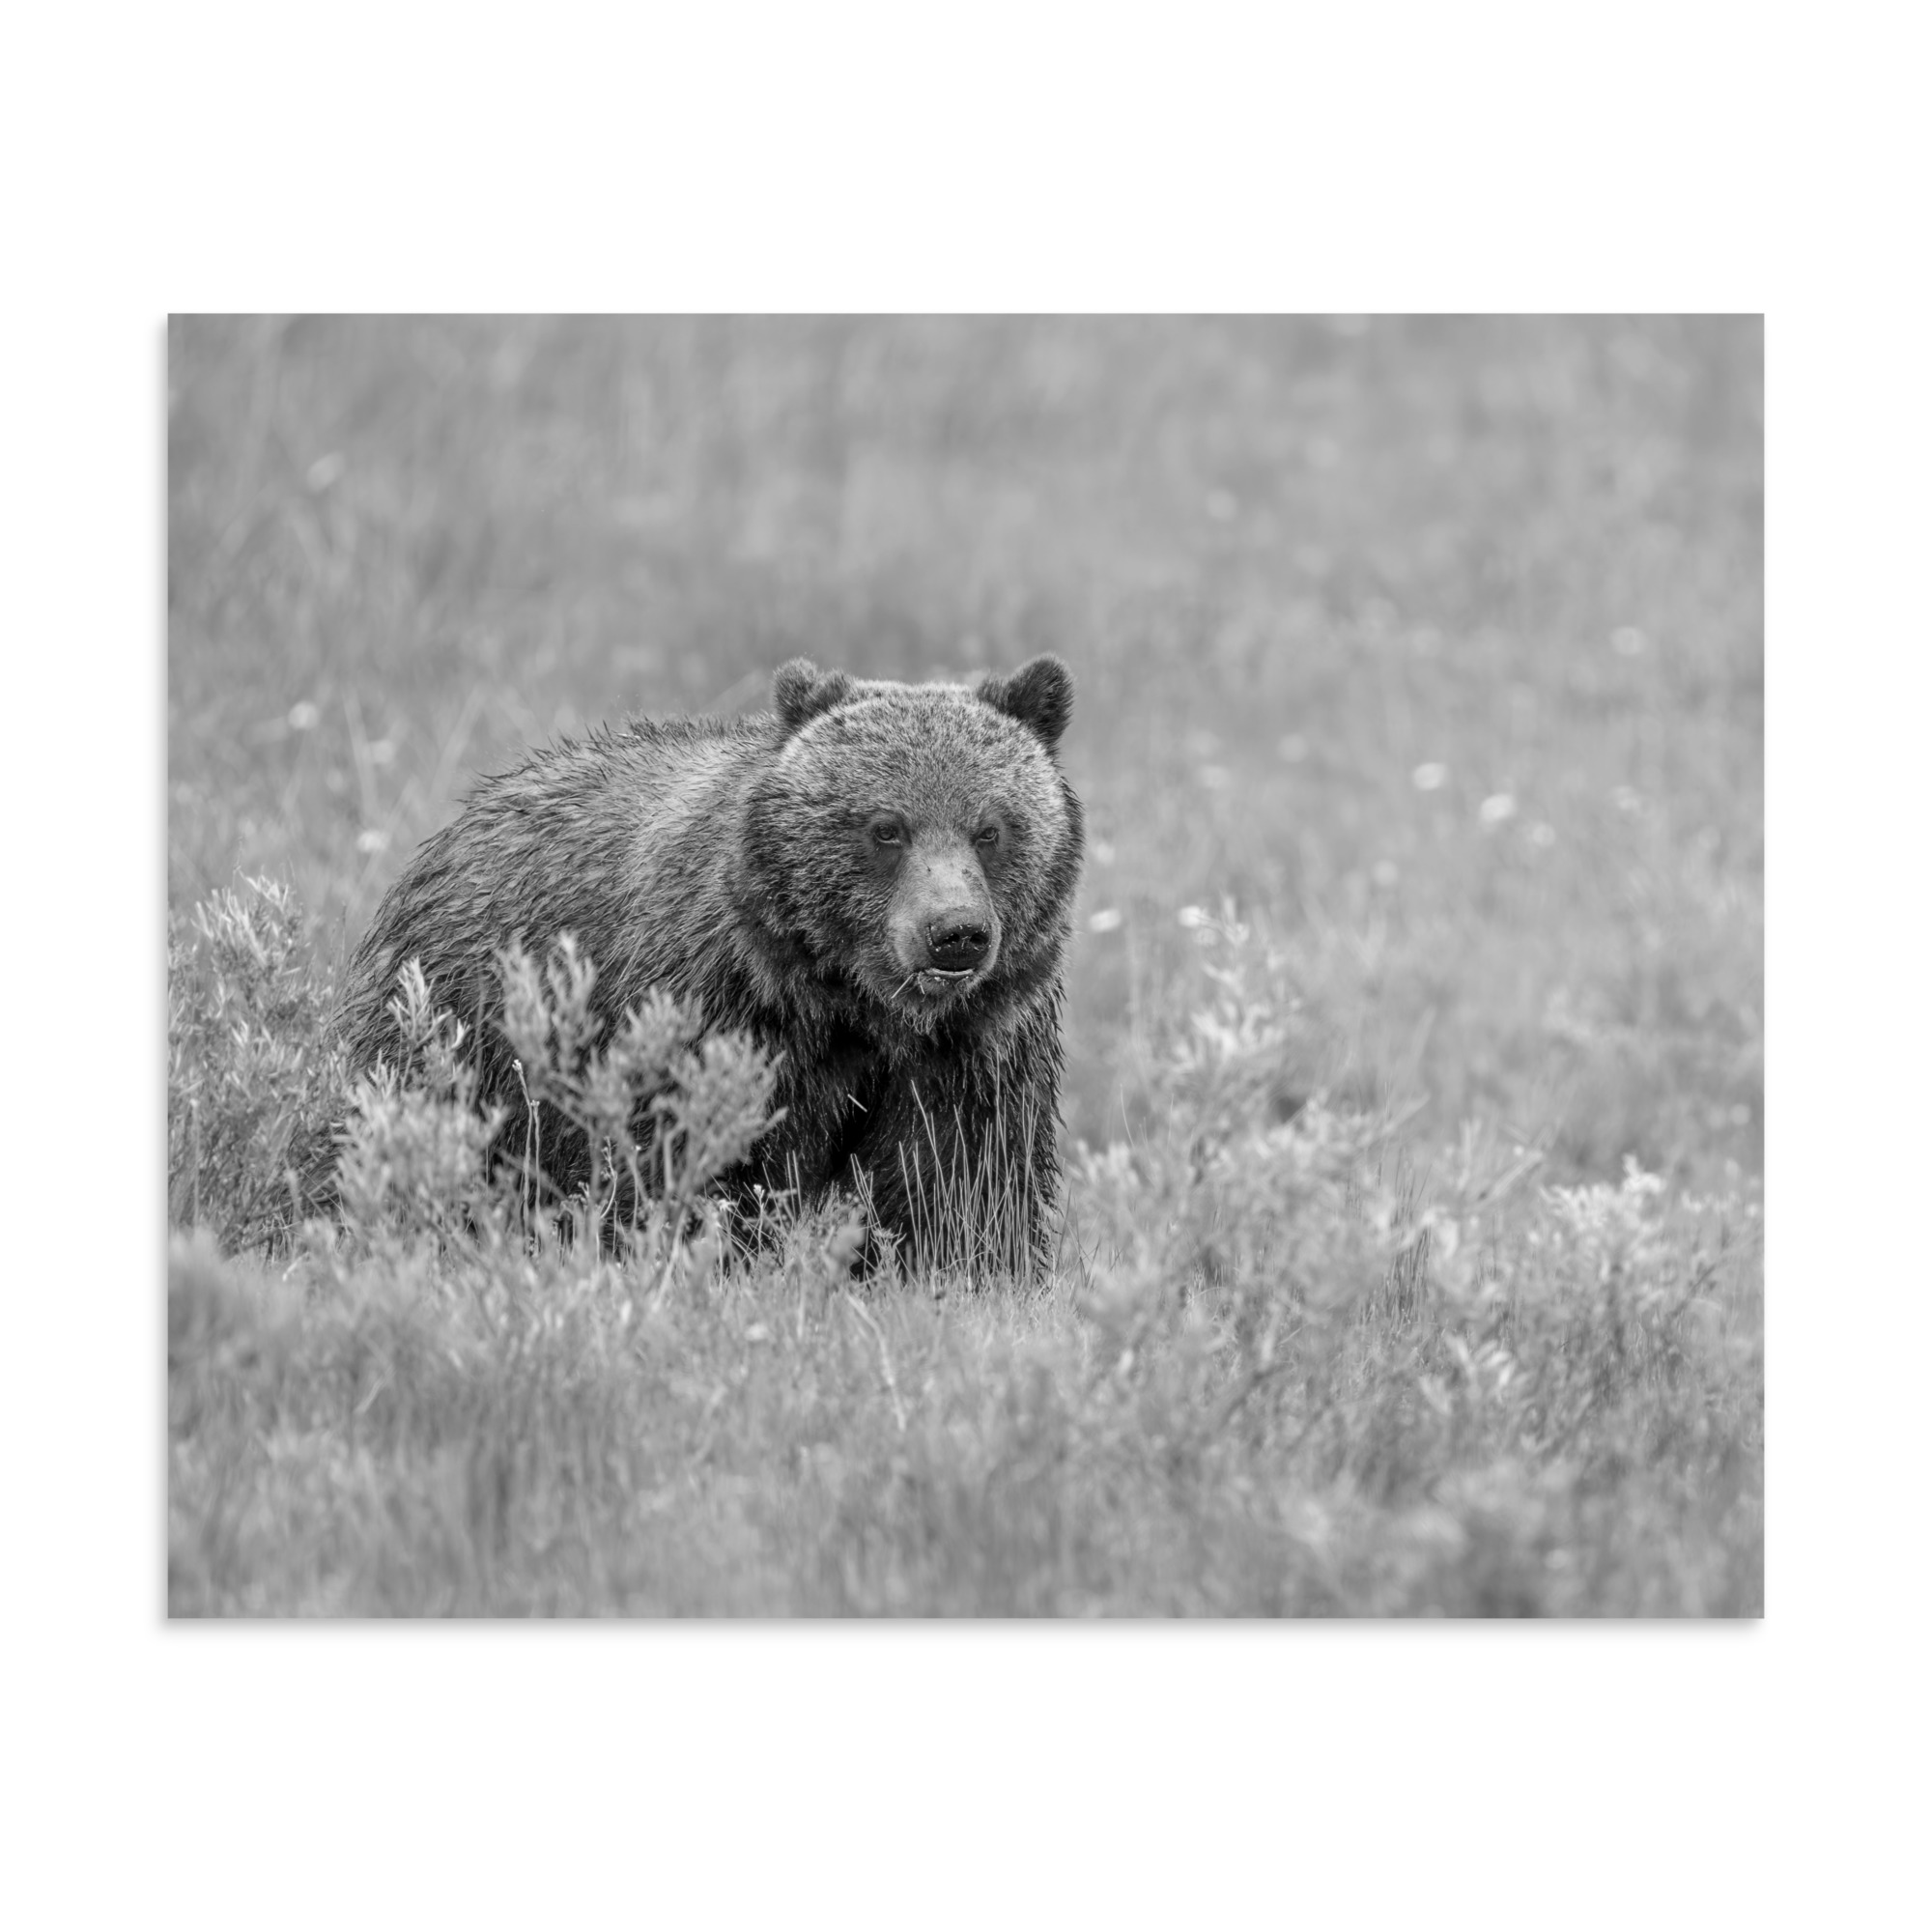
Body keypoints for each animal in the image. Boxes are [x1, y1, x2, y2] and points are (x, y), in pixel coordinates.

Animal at [329, 655, 1084, 1276]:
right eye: (886, 827)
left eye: (990, 829)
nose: (955, 933)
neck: (853, 1004)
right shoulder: (718, 1009)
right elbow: (692, 1159)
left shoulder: (975, 1046)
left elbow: (962, 1184)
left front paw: (965, 1273)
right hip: (462, 1026)